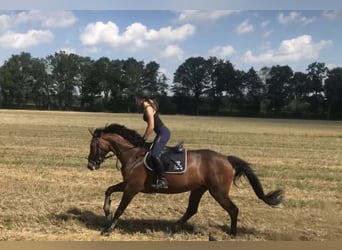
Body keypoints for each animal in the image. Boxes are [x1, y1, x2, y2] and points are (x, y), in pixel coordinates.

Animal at [86, 124, 284, 237]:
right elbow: (109, 190)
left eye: (93, 145)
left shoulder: (132, 188)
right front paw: (106, 213)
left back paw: (233, 234)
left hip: (218, 191)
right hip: (199, 189)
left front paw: (107, 229)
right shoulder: (128, 185)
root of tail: (227, 159)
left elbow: (121, 208)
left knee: (233, 209)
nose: (90, 165)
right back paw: (171, 230)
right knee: (192, 209)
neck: (133, 155)